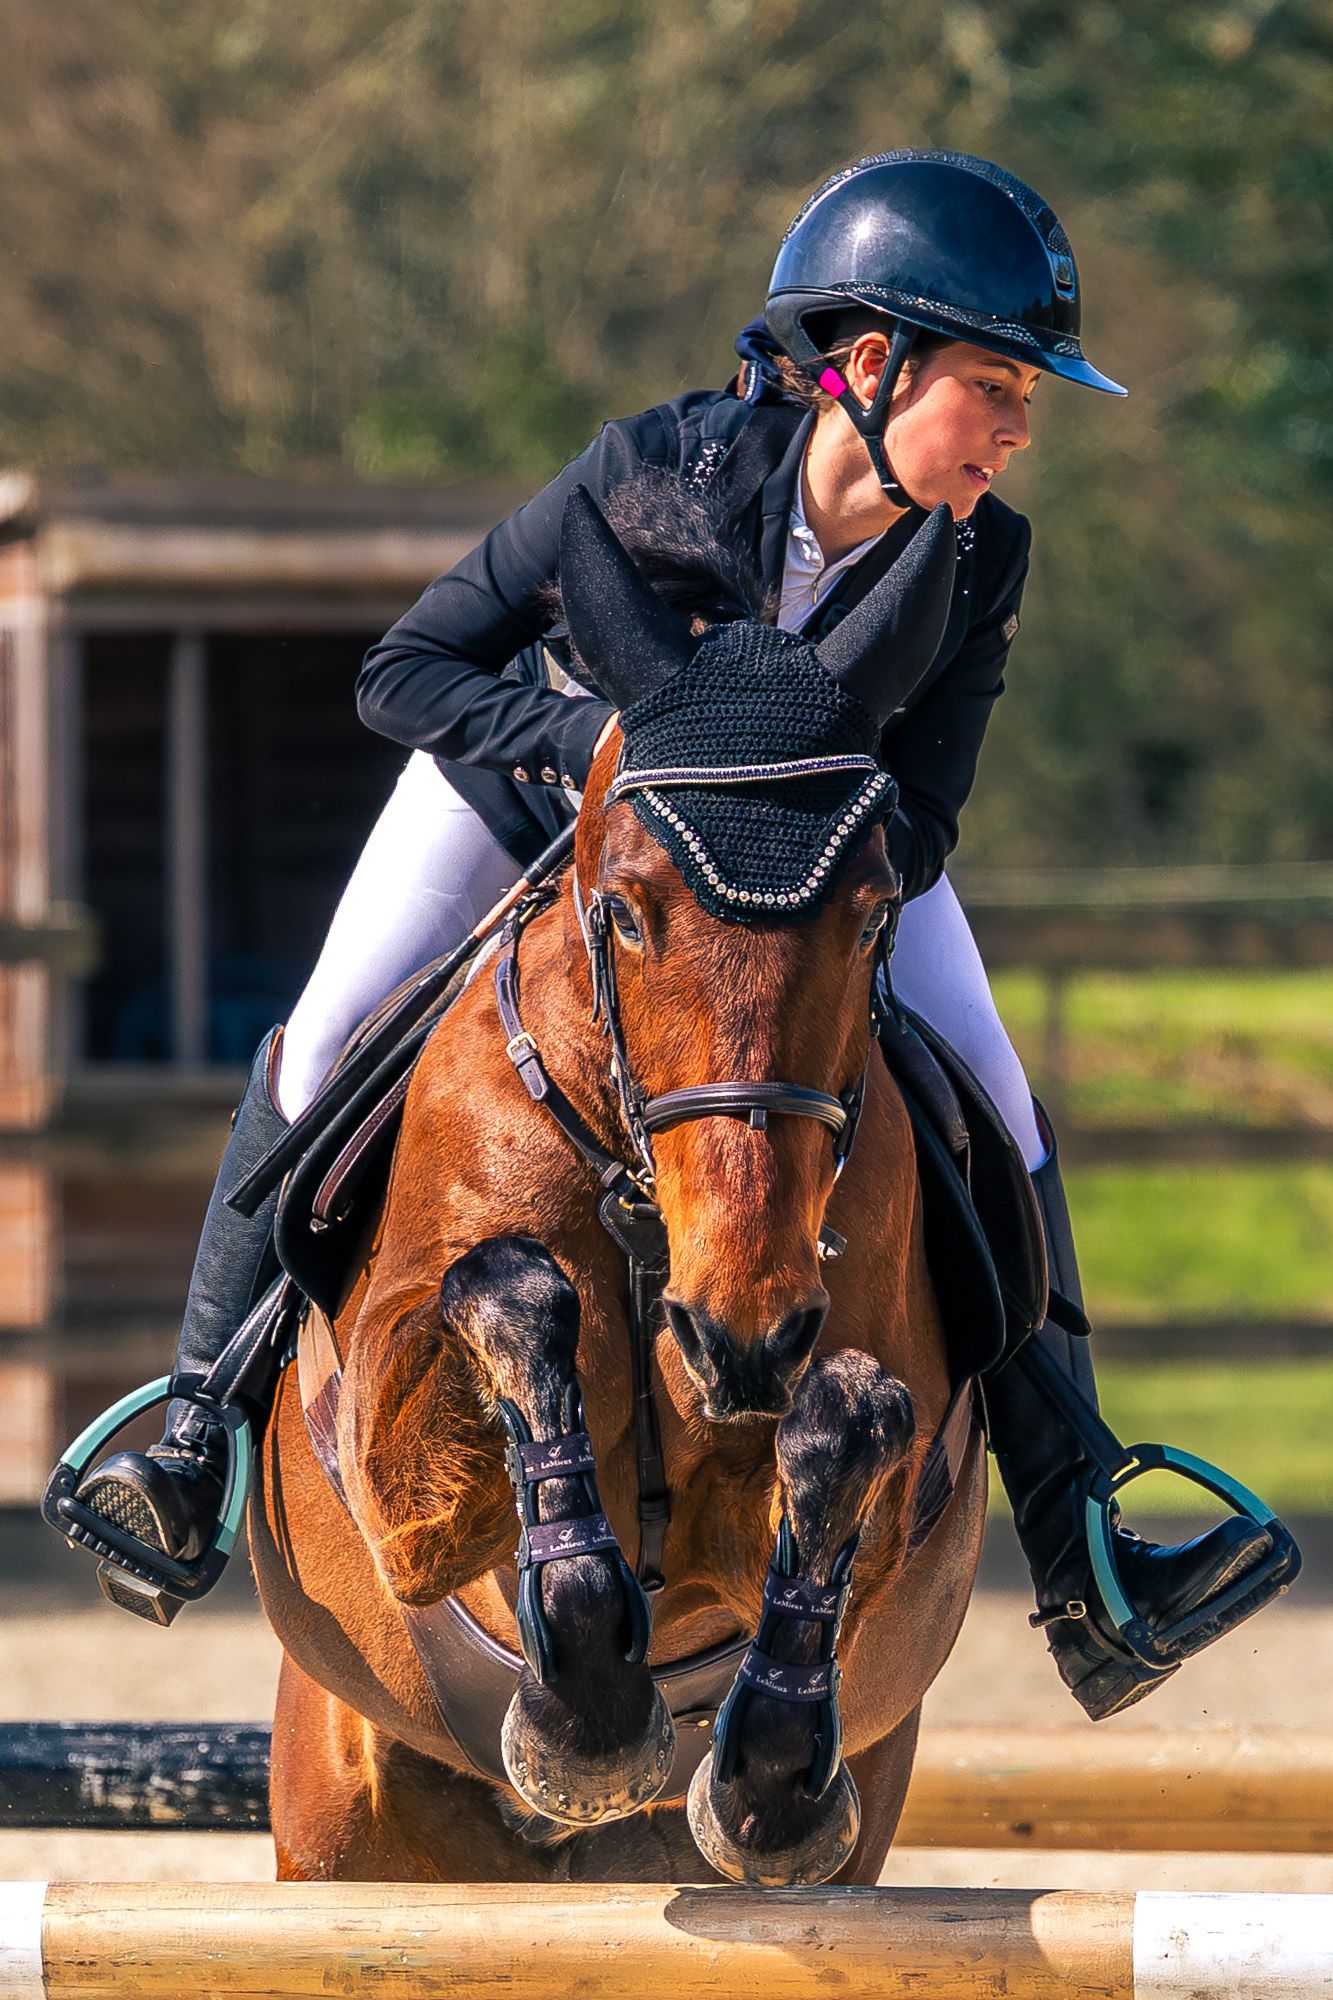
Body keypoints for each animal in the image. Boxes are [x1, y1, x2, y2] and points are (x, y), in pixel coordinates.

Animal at [248, 482, 988, 1886]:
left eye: (874, 913)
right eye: (629, 910)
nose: (739, 1333)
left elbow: (852, 1426)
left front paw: (764, 1774)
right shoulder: (403, 1480)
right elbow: (507, 1297)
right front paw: (586, 1718)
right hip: (333, 1815)